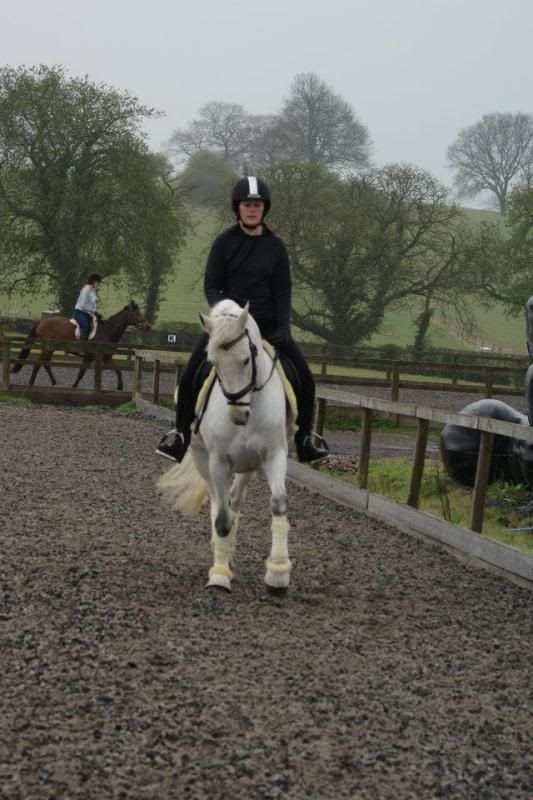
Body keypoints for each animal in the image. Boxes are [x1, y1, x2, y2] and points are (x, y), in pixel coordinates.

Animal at [11, 301, 150, 390]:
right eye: (137, 314)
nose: (147, 327)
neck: (107, 331)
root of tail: (42, 321)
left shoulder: (106, 358)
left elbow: (119, 371)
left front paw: (120, 387)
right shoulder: (90, 357)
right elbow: (81, 373)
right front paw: (74, 387)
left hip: (51, 349)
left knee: (46, 363)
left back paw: (54, 383)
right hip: (47, 348)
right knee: (38, 364)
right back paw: (31, 383)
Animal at [157, 299, 295, 593]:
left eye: (246, 359)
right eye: (213, 363)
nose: (238, 414)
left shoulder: (274, 455)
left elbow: (278, 505)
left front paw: (278, 573)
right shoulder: (218, 461)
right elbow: (221, 518)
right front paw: (219, 575)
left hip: (249, 465)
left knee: (235, 499)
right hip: (202, 458)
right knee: (217, 502)